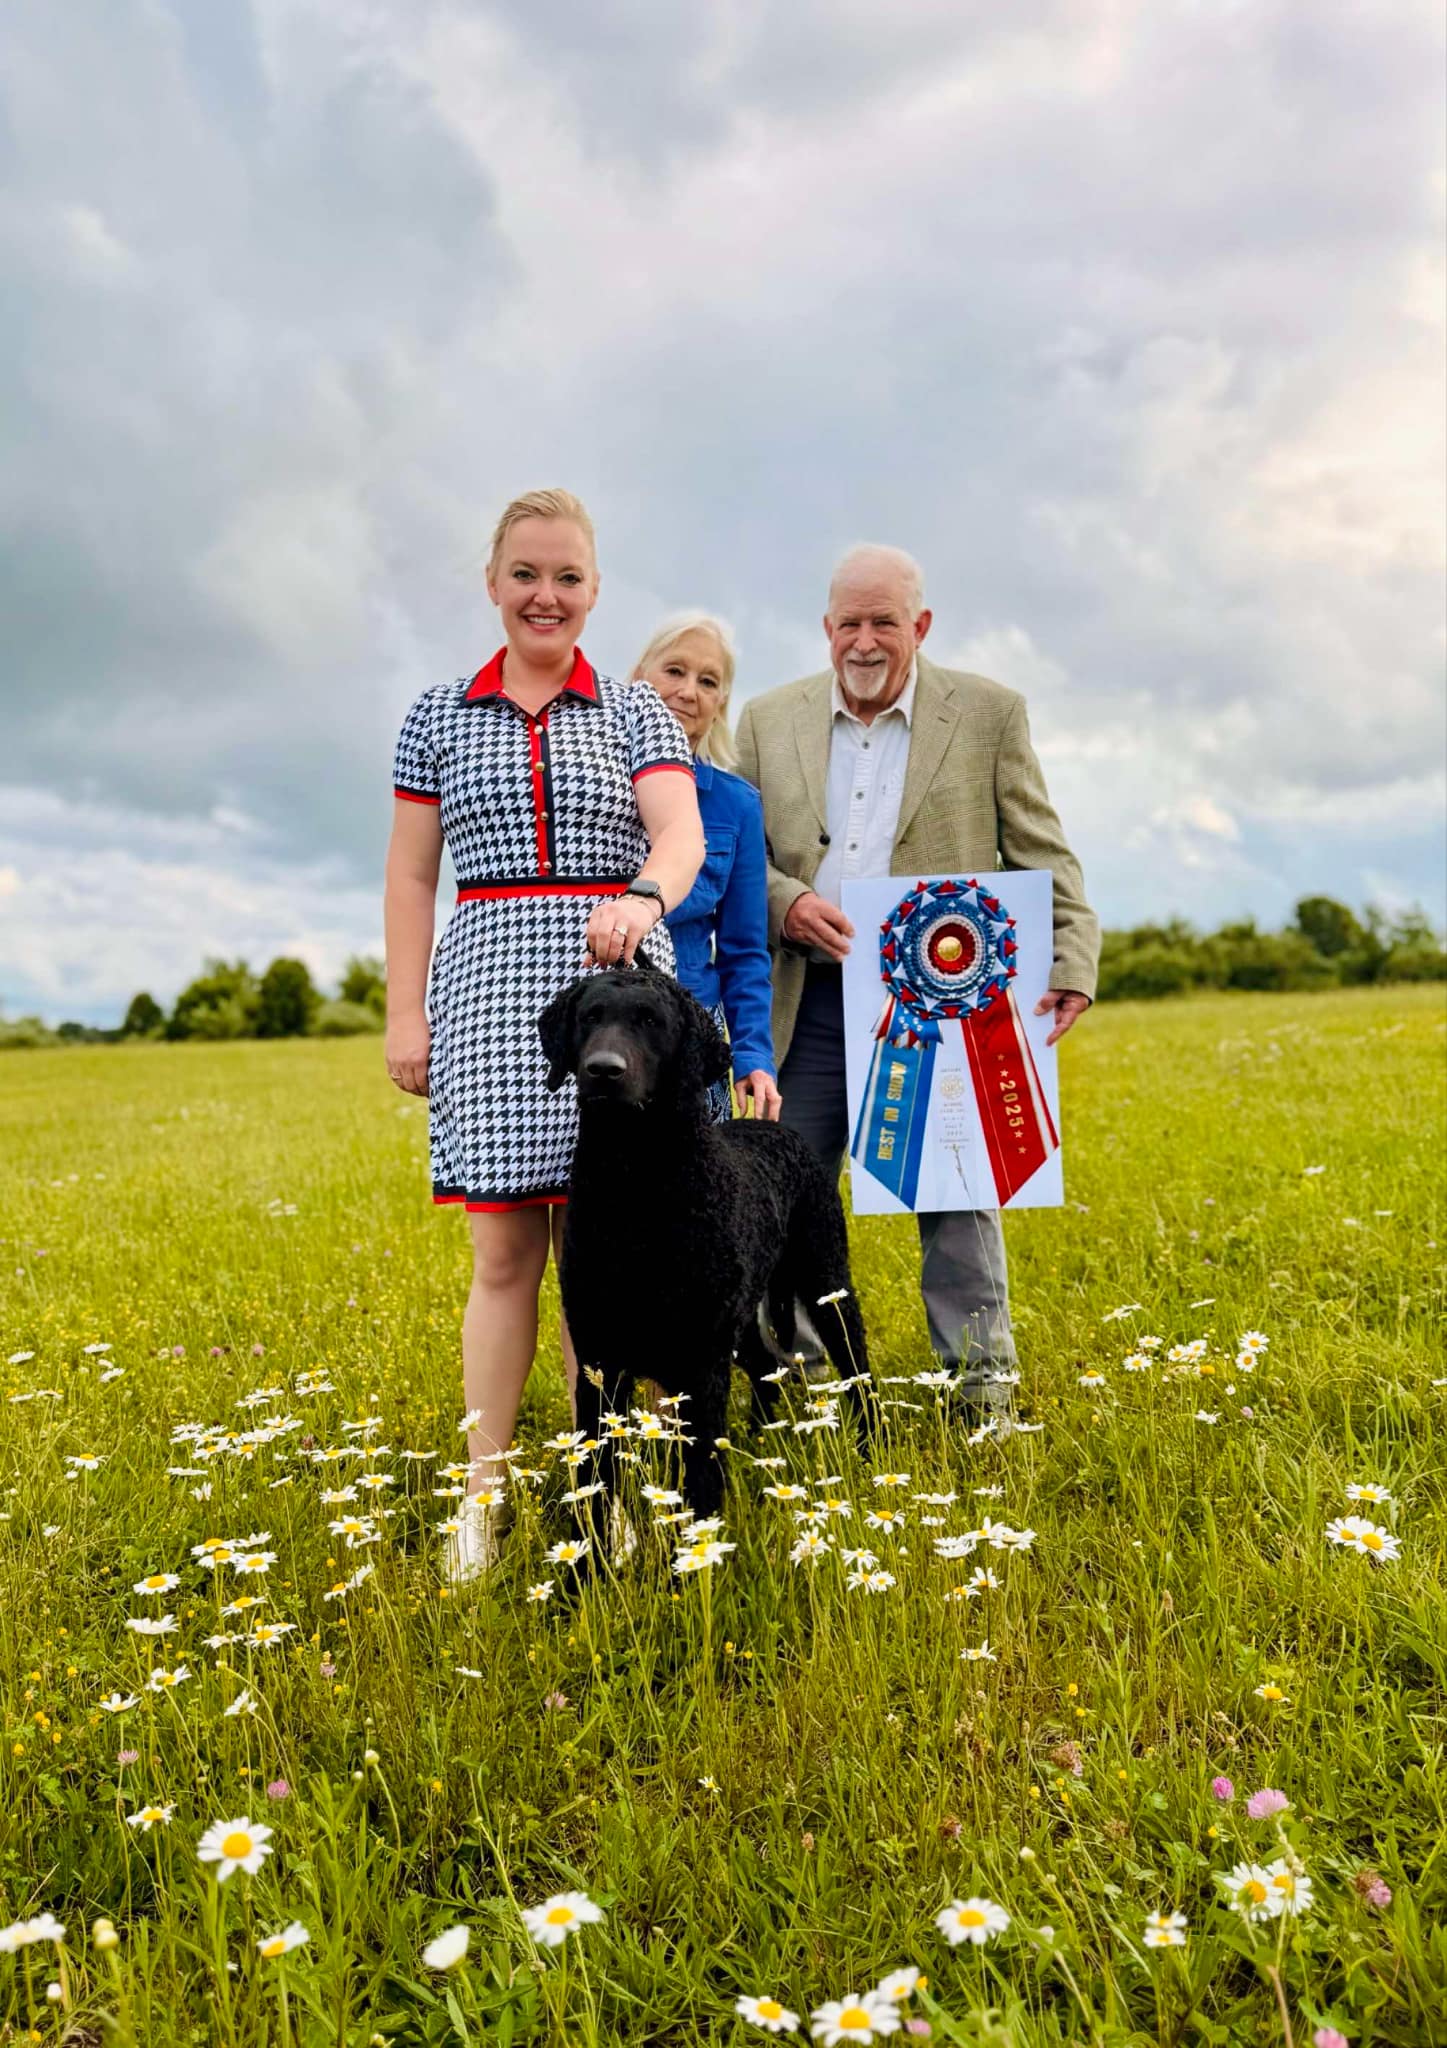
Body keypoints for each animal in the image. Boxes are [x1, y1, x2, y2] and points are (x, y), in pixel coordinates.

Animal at [538, 965, 869, 1521]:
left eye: (651, 1021)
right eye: (589, 1017)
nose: (603, 1071)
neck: (635, 1187)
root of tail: (772, 1127)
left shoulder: (699, 1363)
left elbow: (701, 1477)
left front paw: (699, 1542)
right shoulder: (599, 1356)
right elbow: (595, 1476)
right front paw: (590, 1547)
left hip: (825, 1279)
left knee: (854, 1360)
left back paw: (870, 1443)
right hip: (741, 1320)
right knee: (764, 1366)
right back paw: (761, 1437)